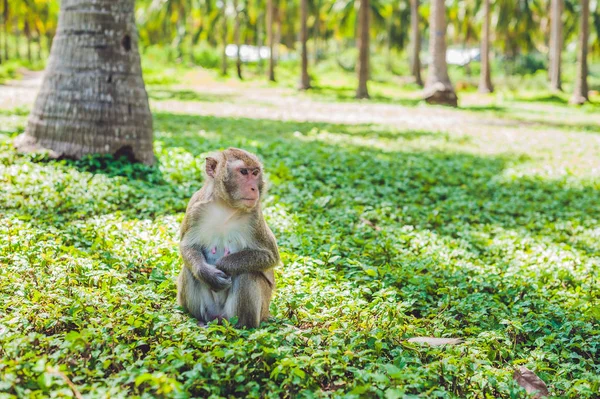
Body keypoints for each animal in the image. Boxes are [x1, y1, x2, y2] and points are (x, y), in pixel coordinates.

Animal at [177, 147, 280, 328]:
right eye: (243, 172)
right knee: (189, 270)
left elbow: (270, 256)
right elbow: (187, 246)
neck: (225, 206)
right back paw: (200, 320)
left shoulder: (255, 216)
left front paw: (224, 265)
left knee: (247, 274)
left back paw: (243, 327)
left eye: (255, 173)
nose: (254, 188)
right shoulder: (195, 208)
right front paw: (208, 274)